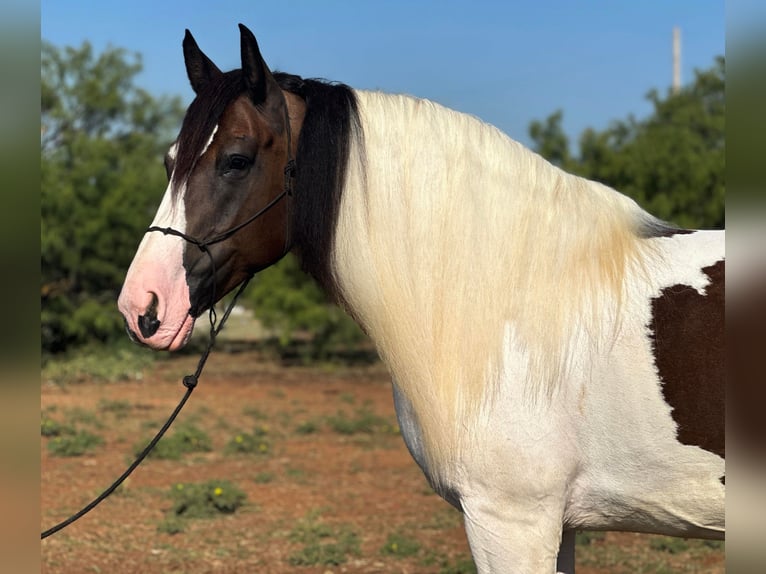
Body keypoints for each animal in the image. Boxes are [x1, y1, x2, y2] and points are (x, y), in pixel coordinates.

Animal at [118, 25, 728, 574]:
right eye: (170, 162)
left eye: (237, 159)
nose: (142, 304)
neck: (517, 309)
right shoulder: (559, 527)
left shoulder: (512, 521)